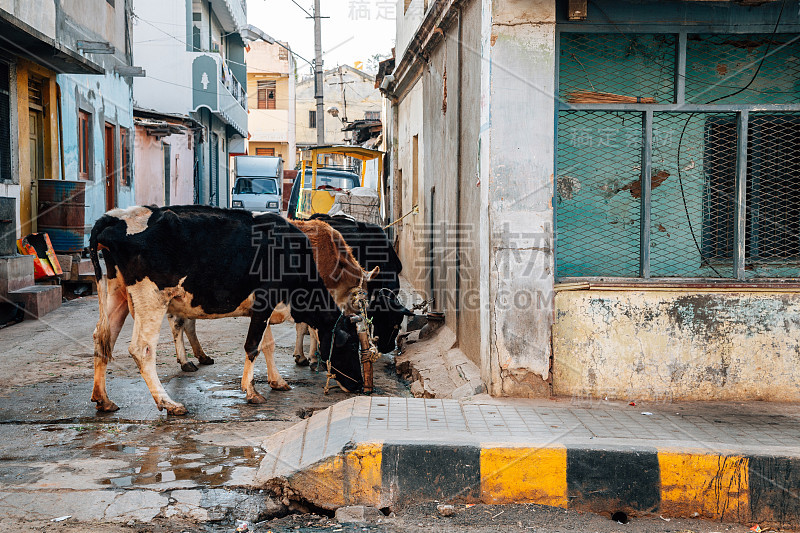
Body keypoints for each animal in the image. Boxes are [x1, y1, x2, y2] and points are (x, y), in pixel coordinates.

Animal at [91, 206, 368, 414]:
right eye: (351, 345)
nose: (359, 386)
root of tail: (115, 216)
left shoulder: (264, 309)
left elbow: (267, 345)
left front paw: (277, 381)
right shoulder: (265, 300)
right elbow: (253, 346)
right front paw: (251, 391)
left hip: (117, 294)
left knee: (103, 340)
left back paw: (103, 399)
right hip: (151, 299)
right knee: (142, 349)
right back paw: (169, 403)